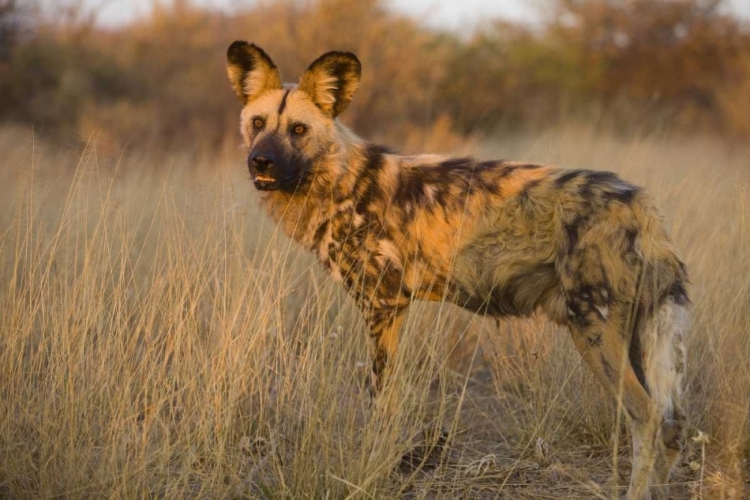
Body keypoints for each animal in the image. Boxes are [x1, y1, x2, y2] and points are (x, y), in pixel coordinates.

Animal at [226, 44, 692, 500]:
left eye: (298, 130)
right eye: (258, 123)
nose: (261, 162)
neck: (340, 181)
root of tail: (642, 205)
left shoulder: (383, 305)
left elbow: (381, 405)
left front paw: (372, 467)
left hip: (593, 329)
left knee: (647, 418)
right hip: (631, 335)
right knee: (671, 426)